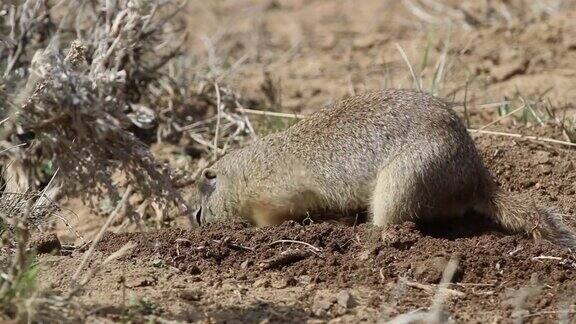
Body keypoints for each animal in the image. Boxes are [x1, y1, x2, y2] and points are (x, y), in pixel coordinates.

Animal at [194, 88, 576, 248]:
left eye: (198, 213)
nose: (196, 226)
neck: (244, 173)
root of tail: (477, 179)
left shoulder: (271, 198)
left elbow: (272, 219)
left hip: (404, 178)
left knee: (389, 221)